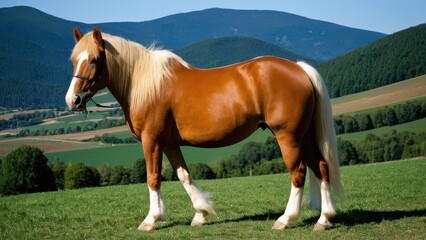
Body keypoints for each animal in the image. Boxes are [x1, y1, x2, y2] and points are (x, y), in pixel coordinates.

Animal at [65, 27, 342, 232]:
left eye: (94, 60)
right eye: (73, 60)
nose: (73, 100)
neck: (145, 84)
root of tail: (298, 68)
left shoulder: (151, 141)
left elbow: (153, 178)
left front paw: (151, 220)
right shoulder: (169, 143)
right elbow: (184, 175)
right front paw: (201, 214)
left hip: (288, 135)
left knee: (298, 172)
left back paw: (285, 219)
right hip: (304, 135)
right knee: (321, 166)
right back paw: (324, 219)